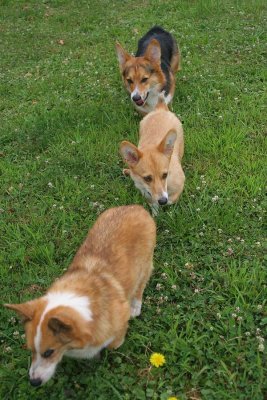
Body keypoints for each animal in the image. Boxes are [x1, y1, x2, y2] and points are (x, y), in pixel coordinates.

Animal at [4, 205, 156, 386]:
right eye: (31, 350)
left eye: (49, 352)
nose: (33, 383)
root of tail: (135, 207)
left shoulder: (120, 317)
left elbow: (114, 343)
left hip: (144, 266)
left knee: (140, 285)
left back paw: (136, 306)